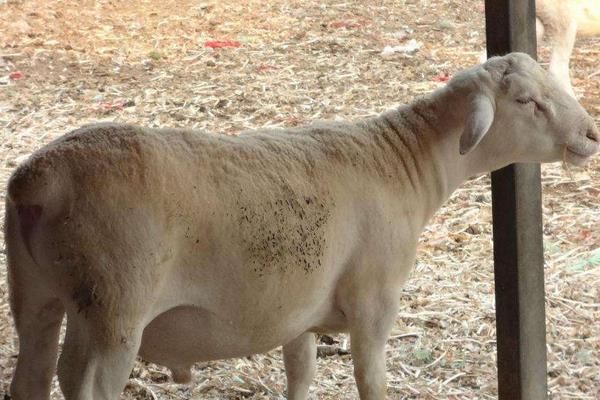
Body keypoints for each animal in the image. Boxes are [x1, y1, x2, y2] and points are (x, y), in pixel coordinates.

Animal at [4, 53, 600, 400]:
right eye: (526, 101)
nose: (591, 134)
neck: (404, 161)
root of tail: (40, 180)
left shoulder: (299, 316)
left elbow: (301, 377)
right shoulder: (373, 305)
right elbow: (371, 381)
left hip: (37, 297)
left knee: (33, 372)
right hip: (113, 307)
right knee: (83, 381)